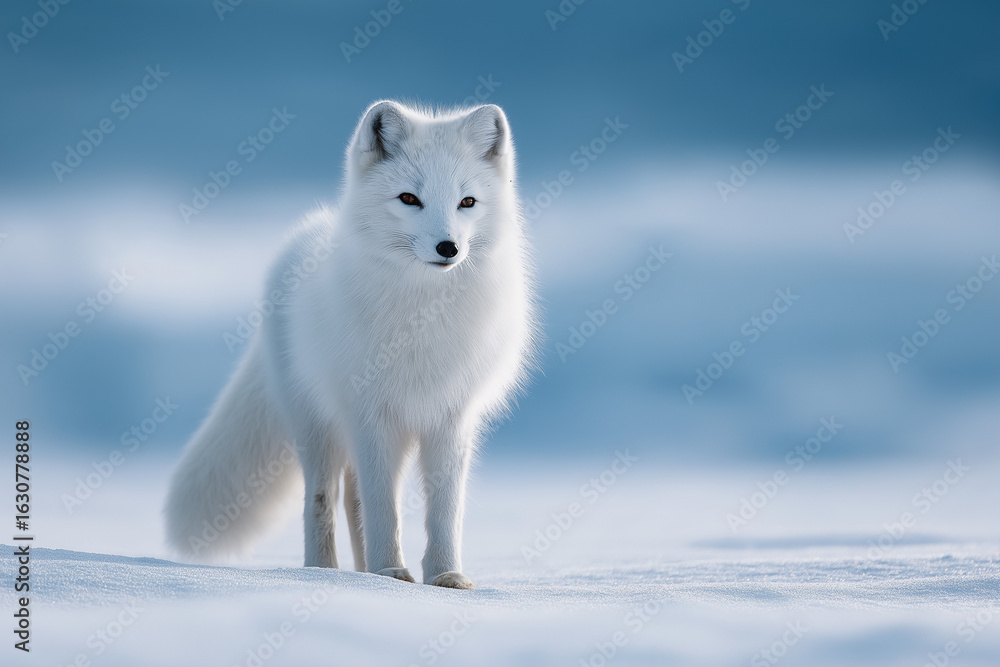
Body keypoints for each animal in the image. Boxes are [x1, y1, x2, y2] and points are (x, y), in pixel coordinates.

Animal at [164, 101, 537, 589]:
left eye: (467, 202)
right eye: (409, 199)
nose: (449, 247)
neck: (423, 316)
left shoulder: (450, 417)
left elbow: (444, 510)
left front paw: (444, 576)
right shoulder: (370, 412)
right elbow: (382, 506)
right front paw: (389, 570)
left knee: (353, 500)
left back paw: (366, 573)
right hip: (317, 428)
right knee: (324, 499)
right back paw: (328, 571)